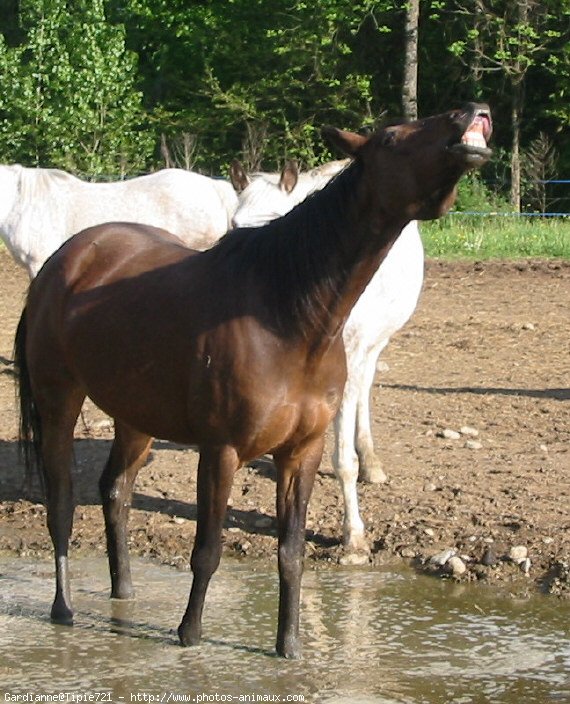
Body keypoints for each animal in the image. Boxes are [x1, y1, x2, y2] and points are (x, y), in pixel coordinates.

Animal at [229, 161, 424, 556]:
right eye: (233, 225)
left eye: (279, 222)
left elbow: (342, 459)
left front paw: (354, 535)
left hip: (373, 345)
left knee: (364, 389)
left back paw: (371, 463)